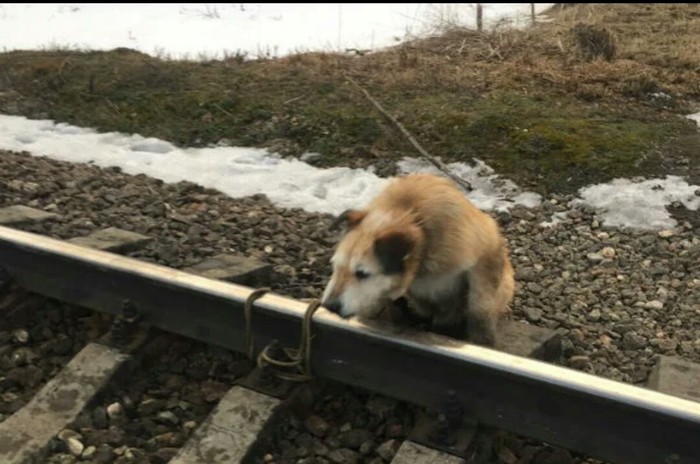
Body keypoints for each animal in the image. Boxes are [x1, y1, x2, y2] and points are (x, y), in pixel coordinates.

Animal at [322, 172, 516, 346]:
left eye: (362, 273)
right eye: (335, 266)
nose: (329, 306)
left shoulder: (486, 252)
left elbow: (480, 307)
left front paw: (483, 340)